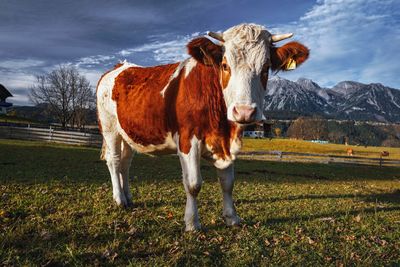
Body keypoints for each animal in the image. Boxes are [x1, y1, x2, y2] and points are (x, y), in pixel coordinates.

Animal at [97, 24, 310, 231]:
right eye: (225, 65)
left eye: (266, 68)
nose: (244, 111)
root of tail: (120, 66)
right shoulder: (187, 140)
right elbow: (193, 184)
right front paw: (192, 223)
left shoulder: (226, 144)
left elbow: (227, 183)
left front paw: (232, 218)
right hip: (110, 129)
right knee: (114, 161)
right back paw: (119, 199)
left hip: (127, 133)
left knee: (125, 163)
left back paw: (128, 197)